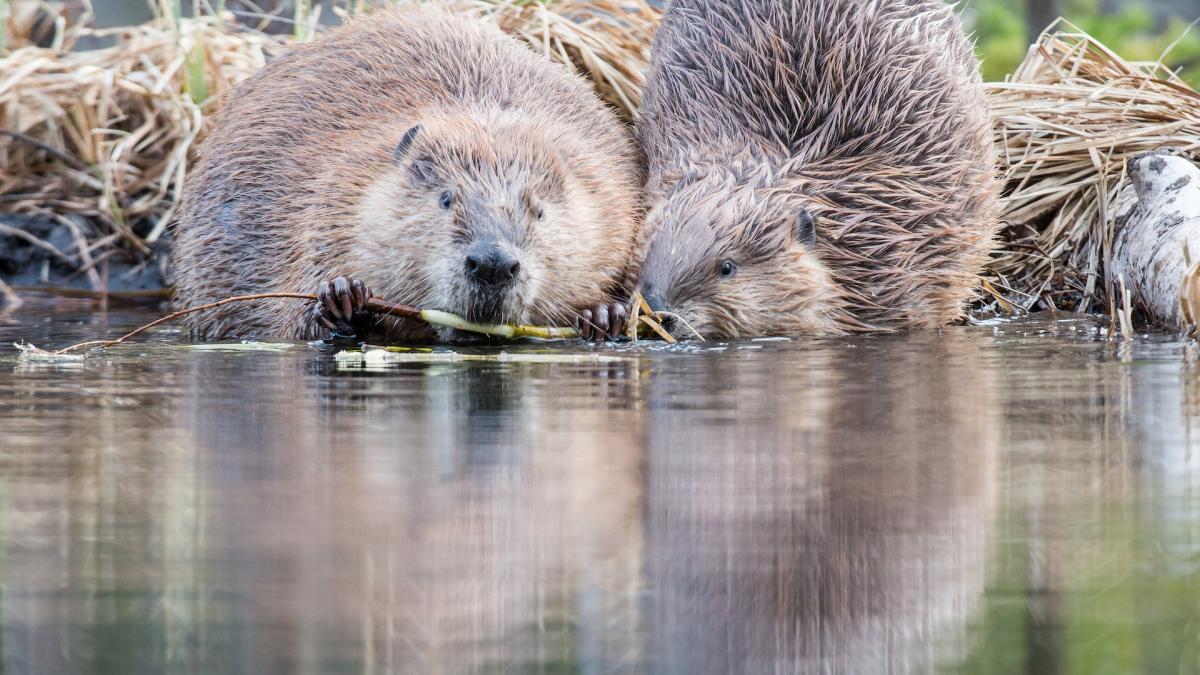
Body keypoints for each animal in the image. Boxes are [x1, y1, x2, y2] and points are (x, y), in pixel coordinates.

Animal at [175, 5, 643, 341]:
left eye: (540, 211)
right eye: (446, 198)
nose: (491, 263)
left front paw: (604, 315)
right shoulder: (329, 206)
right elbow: (293, 319)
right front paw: (343, 298)